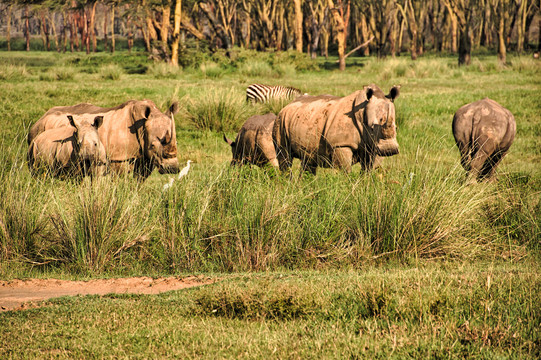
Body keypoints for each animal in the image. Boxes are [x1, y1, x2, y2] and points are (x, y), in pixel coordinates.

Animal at [28, 100, 179, 180]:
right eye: (153, 145)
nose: (172, 169)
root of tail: (41, 117)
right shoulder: (118, 157)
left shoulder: (146, 157)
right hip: (37, 134)